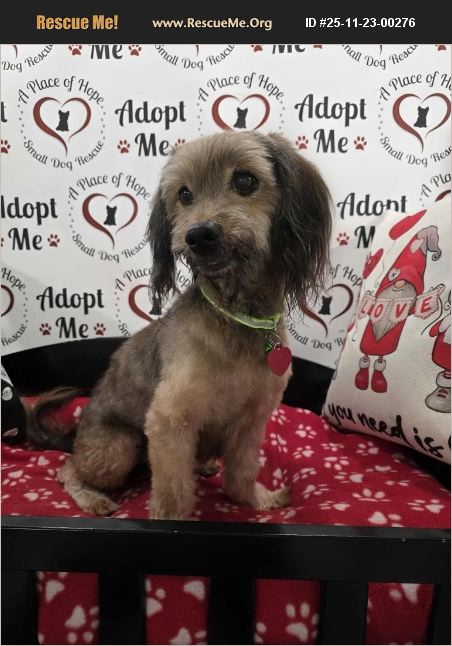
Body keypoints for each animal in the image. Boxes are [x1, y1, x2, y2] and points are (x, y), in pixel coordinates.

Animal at [32, 131, 331, 520]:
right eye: (184, 194)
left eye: (245, 180)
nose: (199, 234)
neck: (236, 314)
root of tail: (76, 436)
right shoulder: (170, 419)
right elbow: (173, 493)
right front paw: (170, 522)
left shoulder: (253, 420)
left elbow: (243, 471)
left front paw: (255, 500)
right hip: (117, 449)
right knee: (67, 470)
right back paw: (92, 497)